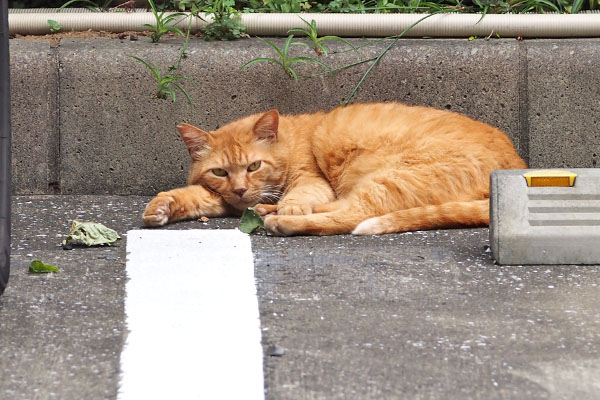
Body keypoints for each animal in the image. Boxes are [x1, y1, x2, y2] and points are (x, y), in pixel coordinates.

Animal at [142, 101, 524, 236]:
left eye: (254, 165)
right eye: (220, 173)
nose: (239, 189)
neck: (291, 140)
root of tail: (517, 164)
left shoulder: (313, 181)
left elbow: (300, 196)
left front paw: (288, 207)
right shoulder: (224, 199)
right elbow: (194, 196)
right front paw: (163, 206)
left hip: (390, 179)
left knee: (350, 216)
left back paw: (282, 221)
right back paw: (269, 212)